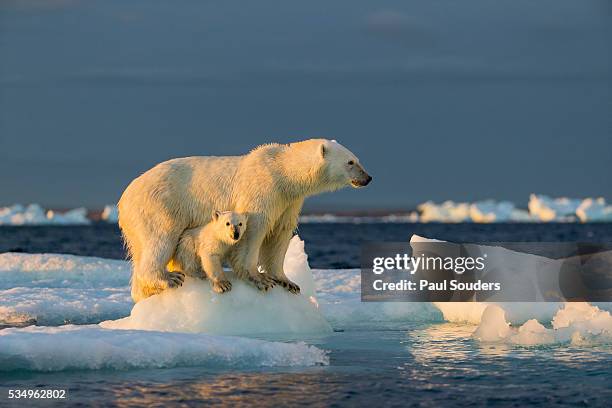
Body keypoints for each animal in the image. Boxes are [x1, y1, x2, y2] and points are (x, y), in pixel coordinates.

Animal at [117, 139, 370, 302]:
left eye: (358, 159)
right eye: (350, 162)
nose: (368, 178)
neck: (282, 172)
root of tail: (123, 199)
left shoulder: (288, 201)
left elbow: (280, 234)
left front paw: (288, 282)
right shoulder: (262, 189)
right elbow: (254, 230)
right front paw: (259, 278)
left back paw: (147, 292)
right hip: (160, 205)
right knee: (160, 239)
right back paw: (169, 278)